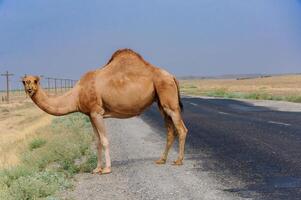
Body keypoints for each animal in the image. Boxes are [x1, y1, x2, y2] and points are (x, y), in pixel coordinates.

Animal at [22, 48, 188, 175]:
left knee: (181, 129)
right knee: (170, 131)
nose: (30, 89)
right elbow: (97, 142)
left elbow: (104, 140)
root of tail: (173, 76)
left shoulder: (97, 112)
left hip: (168, 98)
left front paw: (107, 169)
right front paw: (97, 169)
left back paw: (178, 160)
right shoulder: (90, 115)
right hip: (161, 103)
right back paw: (162, 160)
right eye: (24, 81)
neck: (77, 94)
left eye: (35, 81)